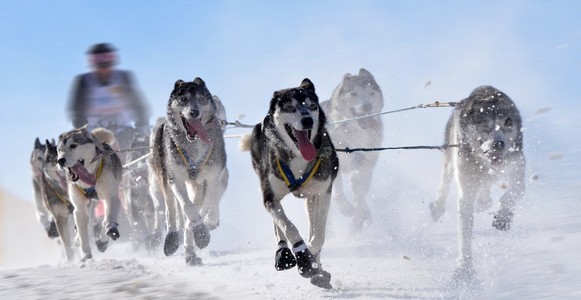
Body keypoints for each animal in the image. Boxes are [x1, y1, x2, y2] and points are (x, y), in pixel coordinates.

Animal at [56, 125, 122, 262]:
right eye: (59, 150)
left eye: (73, 145)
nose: (60, 160)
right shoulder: (79, 208)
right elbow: (82, 232)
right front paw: (86, 254)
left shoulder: (111, 197)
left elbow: (107, 219)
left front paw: (107, 233)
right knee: (85, 224)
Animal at [148, 77, 228, 264]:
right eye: (183, 99)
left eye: (201, 98)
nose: (194, 112)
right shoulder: (175, 179)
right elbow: (187, 207)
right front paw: (200, 231)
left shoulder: (212, 178)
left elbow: (211, 205)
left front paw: (206, 225)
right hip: (164, 178)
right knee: (171, 209)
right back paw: (173, 238)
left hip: (197, 185)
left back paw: (191, 250)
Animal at [240, 78, 338, 288]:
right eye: (290, 107)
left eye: (311, 106)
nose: (308, 120)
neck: (299, 158)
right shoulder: (269, 197)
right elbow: (289, 227)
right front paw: (303, 256)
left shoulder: (323, 191)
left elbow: (319, 235)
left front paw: (312, 256)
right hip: (268, 190)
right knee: (279, 224)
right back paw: (283, 252)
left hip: (310, 197)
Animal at [320, 68, 382, 232]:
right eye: (353, 93)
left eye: (371, 93)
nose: (367, 107)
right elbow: (339, 194)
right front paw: (346, 209)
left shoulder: (363, 168)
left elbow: (360, 197)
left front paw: (357, 221)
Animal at [426, 85, 524, 282]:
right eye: (485, 125)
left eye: (507, 122)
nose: (499, 144)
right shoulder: (466, 189)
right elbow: (465, 233)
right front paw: (465, 269)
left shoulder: (518, 167)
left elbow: (515, 191)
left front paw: (503, 217)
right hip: (450, 161)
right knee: (445, 183)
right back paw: (438, 207)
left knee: (486, 189)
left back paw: (484, 201)